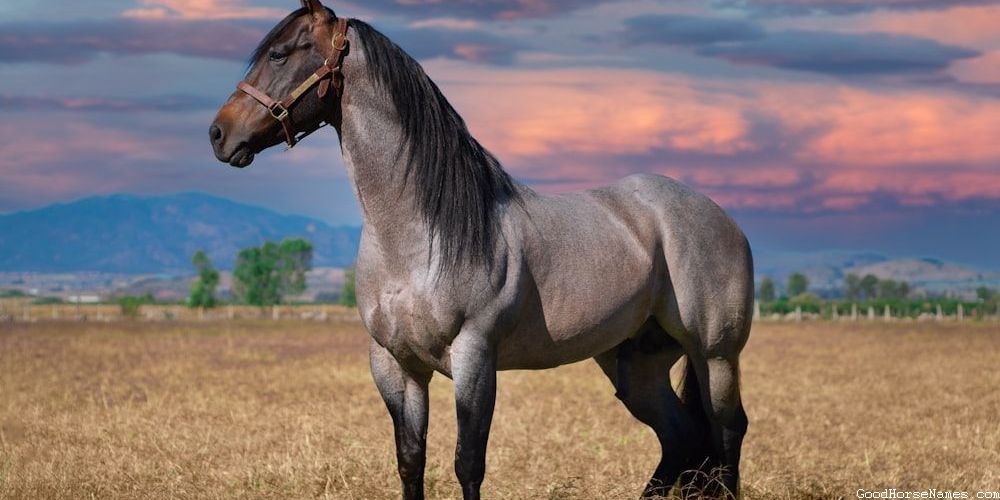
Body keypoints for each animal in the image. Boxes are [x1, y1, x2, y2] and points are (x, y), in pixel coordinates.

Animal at [209, 1, 753, 498]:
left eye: (280, 54)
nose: (218, 134)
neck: (416, 237)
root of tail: (721, 218)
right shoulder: (394, 364)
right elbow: (410, 460)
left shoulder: (474, 357)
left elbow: (468, 462)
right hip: (635, 365)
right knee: (680, 440)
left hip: (715, 356)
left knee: (727, 431)